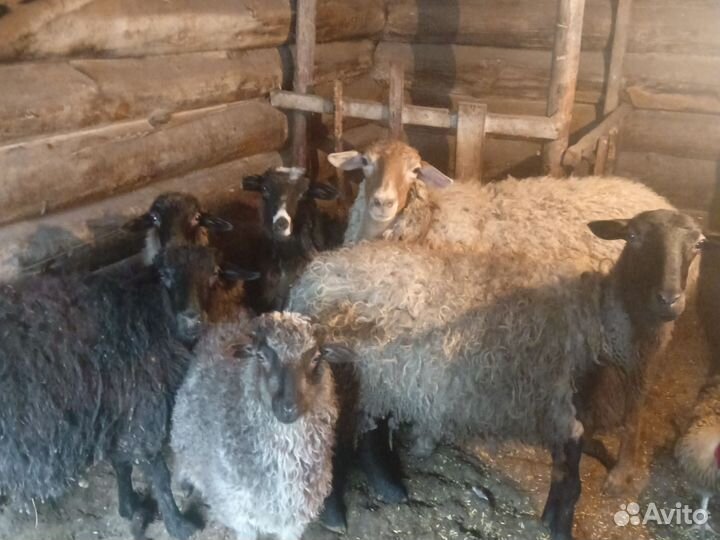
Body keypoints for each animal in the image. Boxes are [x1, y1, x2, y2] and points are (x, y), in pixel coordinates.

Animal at [0, 245, 259, 540]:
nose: (191, 318)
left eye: (214, 273)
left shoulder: (119, 416)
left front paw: (129, 505)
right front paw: (178, 524)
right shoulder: (143, 412)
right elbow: (159, 475)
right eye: (165, 275)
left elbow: (121, 465)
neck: (151, 314)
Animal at [171, 312, 349, 540]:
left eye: (316, 358)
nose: (288, 407)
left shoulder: (293, 521)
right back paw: (182, 485)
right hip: (183, 423)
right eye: (261, 357)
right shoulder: (239, 513)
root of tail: (226, 324)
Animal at [288, 209, 706, 540]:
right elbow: (571, 485)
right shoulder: (561, 409)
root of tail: (315, 272)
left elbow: (563, 476)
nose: (669, 300)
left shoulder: (564, 411)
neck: (599, 319)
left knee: (369, 433)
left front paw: (549, 520)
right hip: (339, 369)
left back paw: (390, 489)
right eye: (634, 237)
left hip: (378, 376)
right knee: (334, 441)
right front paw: (559, 529)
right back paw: (334, 515)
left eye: (698, 244)